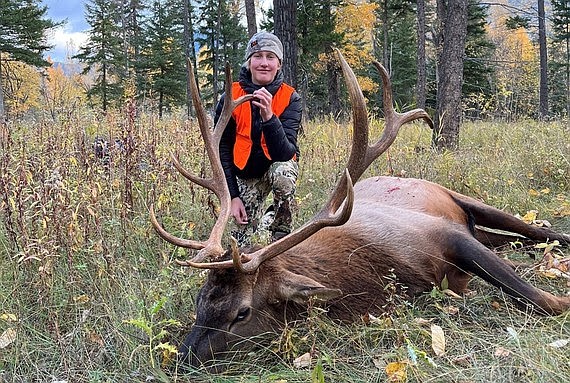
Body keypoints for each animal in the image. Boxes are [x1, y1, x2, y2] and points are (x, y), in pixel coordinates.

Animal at [150, 50, 568, 368]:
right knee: (510, 239)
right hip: (478, 227)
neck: (381, 272)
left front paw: (560, 299)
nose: (182, 359)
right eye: (200, 301)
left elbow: (539, 299)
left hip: (463, 200)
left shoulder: (443, 233)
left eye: (242, 312)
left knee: (536, 231)